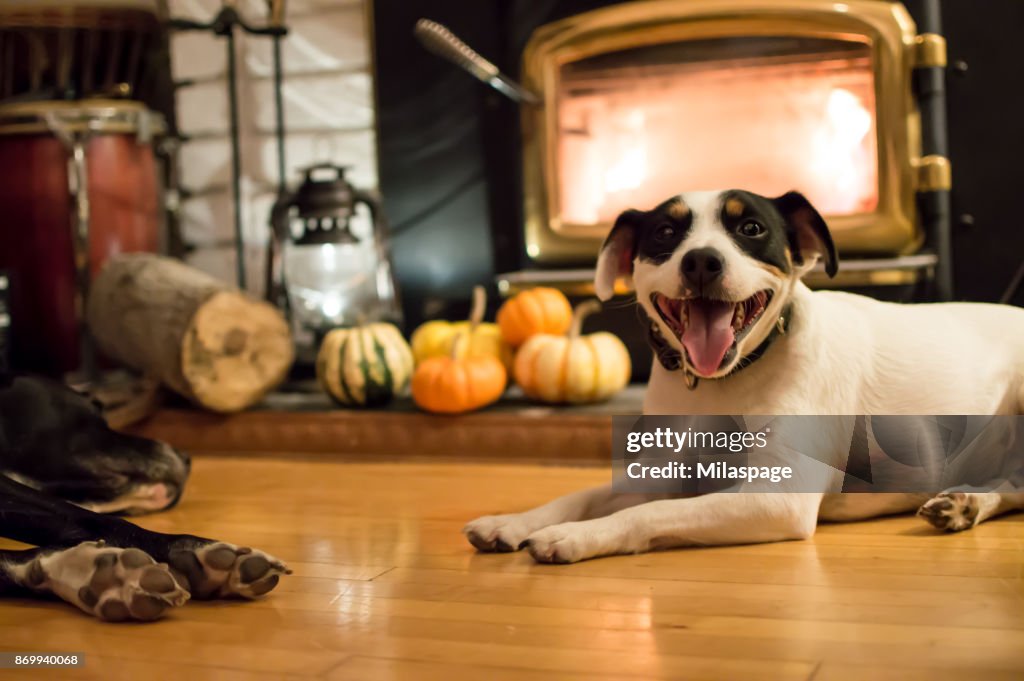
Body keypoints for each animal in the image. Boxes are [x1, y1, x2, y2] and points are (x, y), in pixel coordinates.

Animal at [464, 189, 1024, 561]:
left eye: (750, 229)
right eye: (665, 233)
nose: (701, 262)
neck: (718, 385)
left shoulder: (776, 497)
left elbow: (645, 514)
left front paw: (576, 536)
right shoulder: (661, 470)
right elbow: (577, 496)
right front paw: (512, 522)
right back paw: (964, 505)